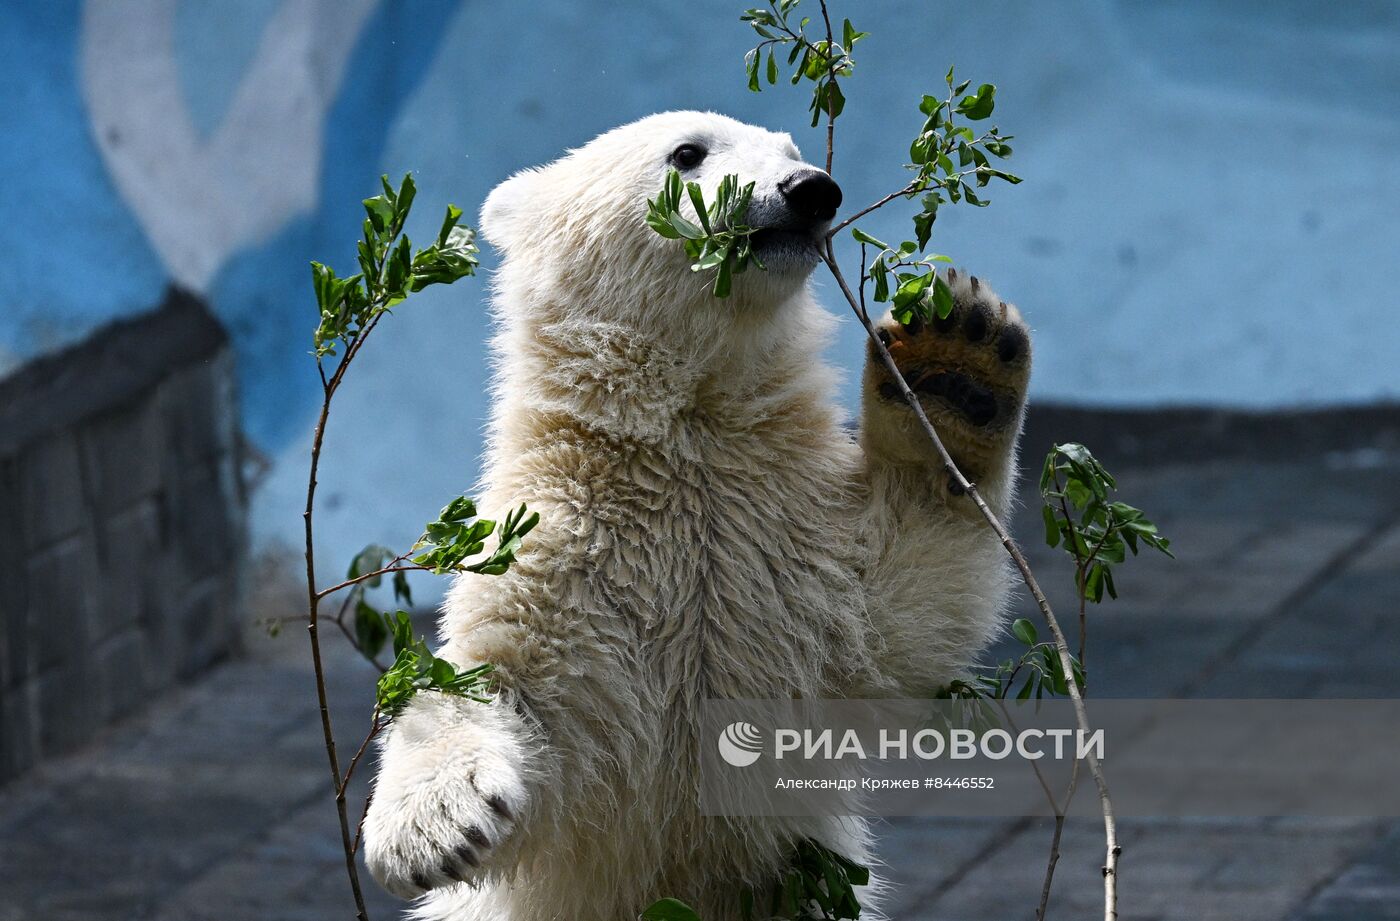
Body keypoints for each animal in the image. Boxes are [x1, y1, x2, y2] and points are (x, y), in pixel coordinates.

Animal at [366, 111, 1036, 912]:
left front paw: (958, 361)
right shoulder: (562, 539)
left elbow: (901, 604)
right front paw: (435, 827)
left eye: (791, 150)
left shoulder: (785, 543)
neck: (687, 437)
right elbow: (488, 676)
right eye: (688, 152)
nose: (811, 189)